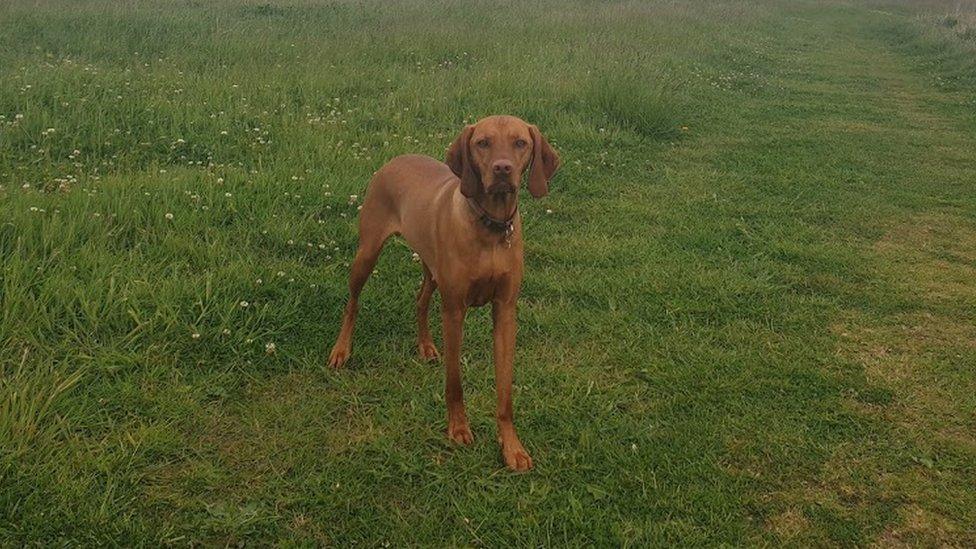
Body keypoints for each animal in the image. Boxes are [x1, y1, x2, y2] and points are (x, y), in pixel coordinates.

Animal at [328, 113, 560, 468]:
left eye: (521, 142)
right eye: (483, 143)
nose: (503, 169)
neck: (490, 227)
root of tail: (396, 158)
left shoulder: (505, 310)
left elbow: (505, 390)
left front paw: (512, 447)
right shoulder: (454, 310)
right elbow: (454, 382)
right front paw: (459, 428)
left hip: (431, 267)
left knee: (420, 300)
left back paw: (425, 345)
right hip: (367, 254)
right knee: (352, 302)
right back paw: (341, 350)